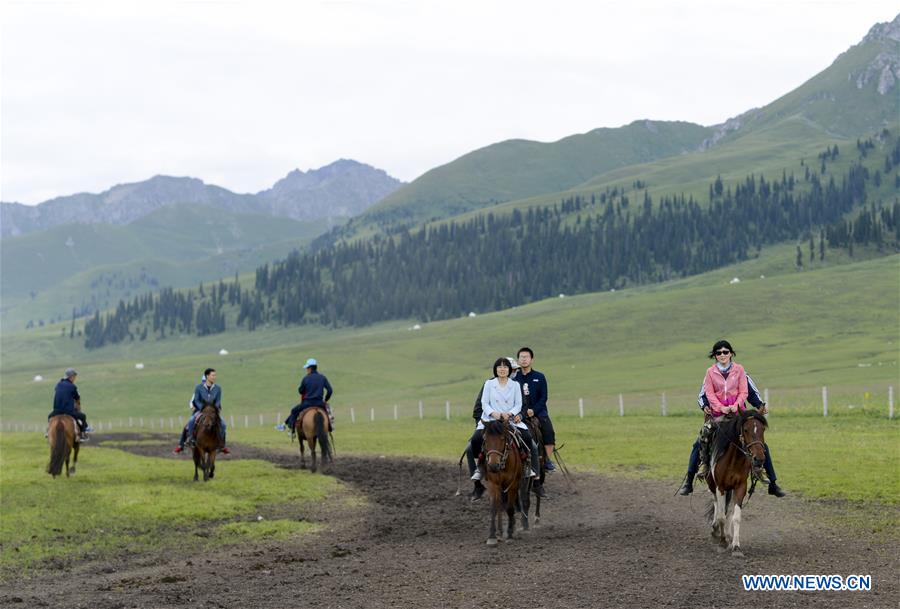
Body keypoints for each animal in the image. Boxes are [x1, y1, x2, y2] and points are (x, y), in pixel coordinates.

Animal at [704, 408, 768, 556]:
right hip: (712, 484)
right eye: (745, 429)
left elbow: (735, 516)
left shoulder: (740, 487)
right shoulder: (720, 487)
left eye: (762, 429)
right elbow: (721, 515)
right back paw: (715, 530)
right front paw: (722, 542)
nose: (759, 459)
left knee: (729, 511)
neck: (733, 460)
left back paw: (728, 535)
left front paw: (736, 546)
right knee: (717, 504)